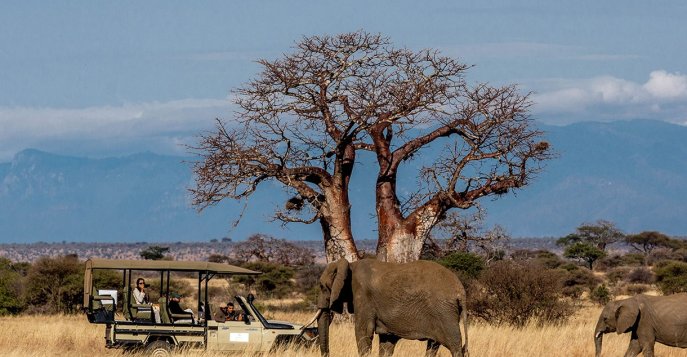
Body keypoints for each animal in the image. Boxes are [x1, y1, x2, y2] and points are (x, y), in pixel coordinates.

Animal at [316, 258, 468, 356]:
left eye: (322, 287)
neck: (349, 264)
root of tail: (460, 291)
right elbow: (387, 340)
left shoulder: (363, 296)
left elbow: (363, 332)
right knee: (434, 345)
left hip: (444, 312)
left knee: (454, 345)